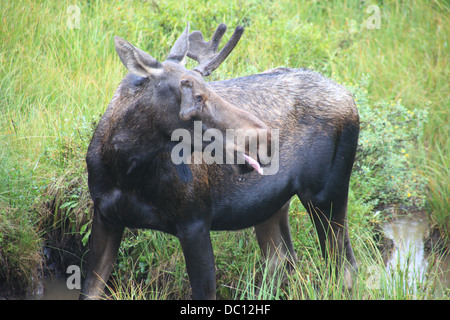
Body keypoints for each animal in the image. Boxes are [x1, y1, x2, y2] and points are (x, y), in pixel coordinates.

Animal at [81, 23, 360, 300]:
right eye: (196, 97)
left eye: (209, 88)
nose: (265, 137)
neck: (123, 170)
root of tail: (349, 96)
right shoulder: (105, 215)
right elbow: (90, 289)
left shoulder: (195, 221)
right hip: (271, 205)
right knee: (282, 261)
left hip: (326, 192)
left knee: (344, 267)